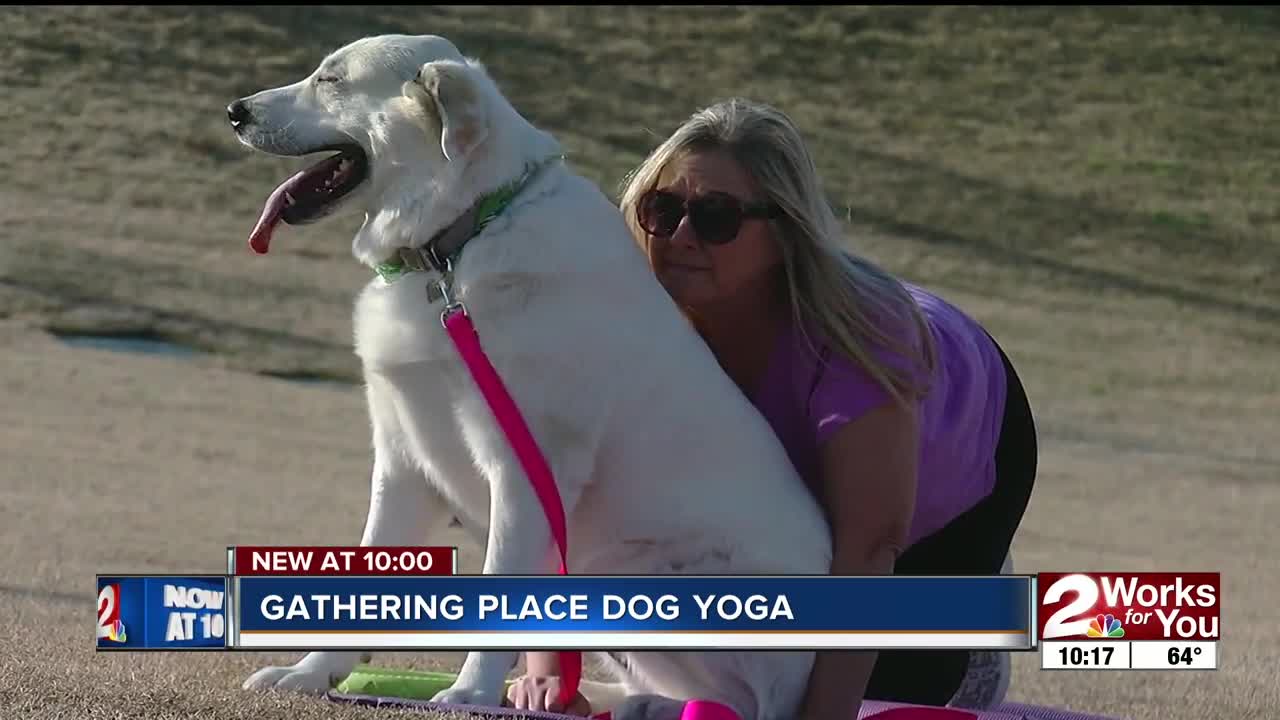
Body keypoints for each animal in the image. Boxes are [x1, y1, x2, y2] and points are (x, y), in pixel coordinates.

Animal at [229, 35, 829, 720]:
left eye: (330, 80)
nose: (234, 111)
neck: (455, 247)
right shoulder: (404, 463)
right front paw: (310, 673)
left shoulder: (523, 473)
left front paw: (467, 693)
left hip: (657, 577)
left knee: (745, 704)